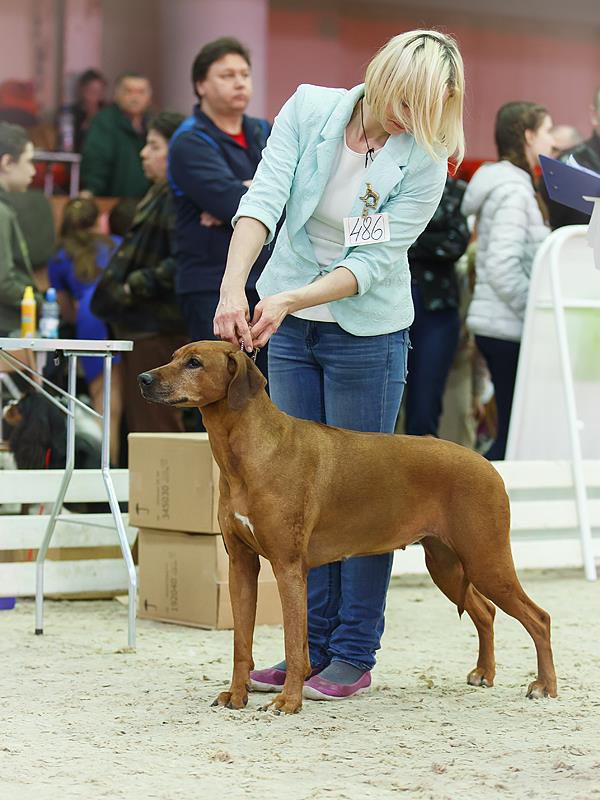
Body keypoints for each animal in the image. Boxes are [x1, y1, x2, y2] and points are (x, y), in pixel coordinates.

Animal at [138, 340, 556, 716]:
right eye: (174, 356)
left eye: (194, 362)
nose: (143, 378)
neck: (250, 451)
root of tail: (487, 464)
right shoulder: (241, 565)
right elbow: (242, 642)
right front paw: (237, 695)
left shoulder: (288, 567)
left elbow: (294, 643)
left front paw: (289, 702)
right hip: (447, 564)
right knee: (486, 611)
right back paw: (484, 672)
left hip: (486, 559)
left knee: (538, 618)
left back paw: (545, 686)